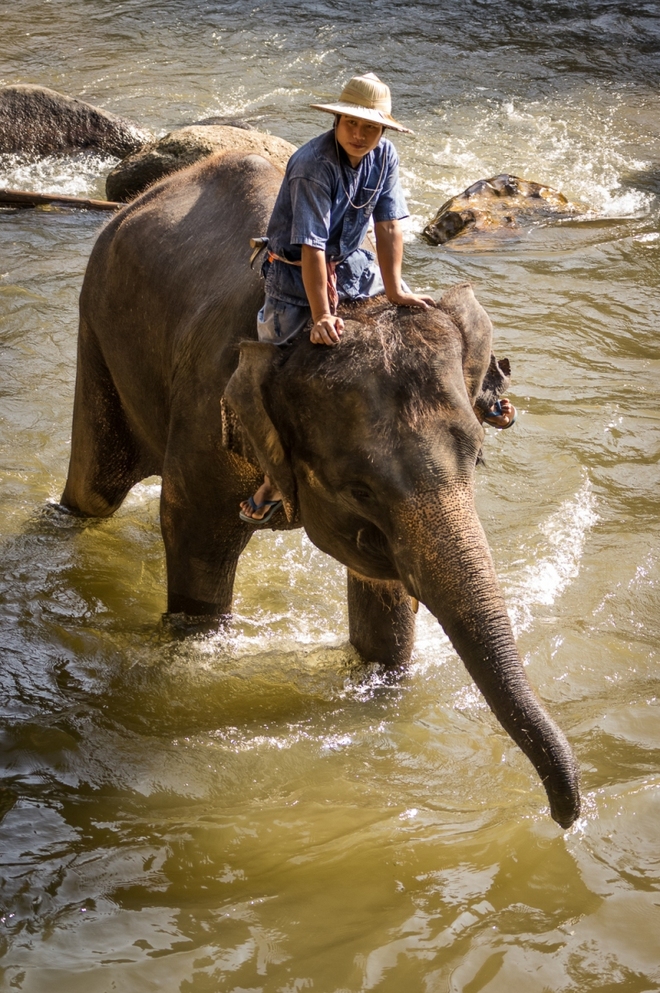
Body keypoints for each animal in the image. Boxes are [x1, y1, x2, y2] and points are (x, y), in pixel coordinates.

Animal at [59, 149, 580, 828]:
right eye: (358, 488)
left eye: (477, 458)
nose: (565, 817)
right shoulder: (206, 416)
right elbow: (194, 540)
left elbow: (384, 597)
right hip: (97, 325)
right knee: (94, 490)